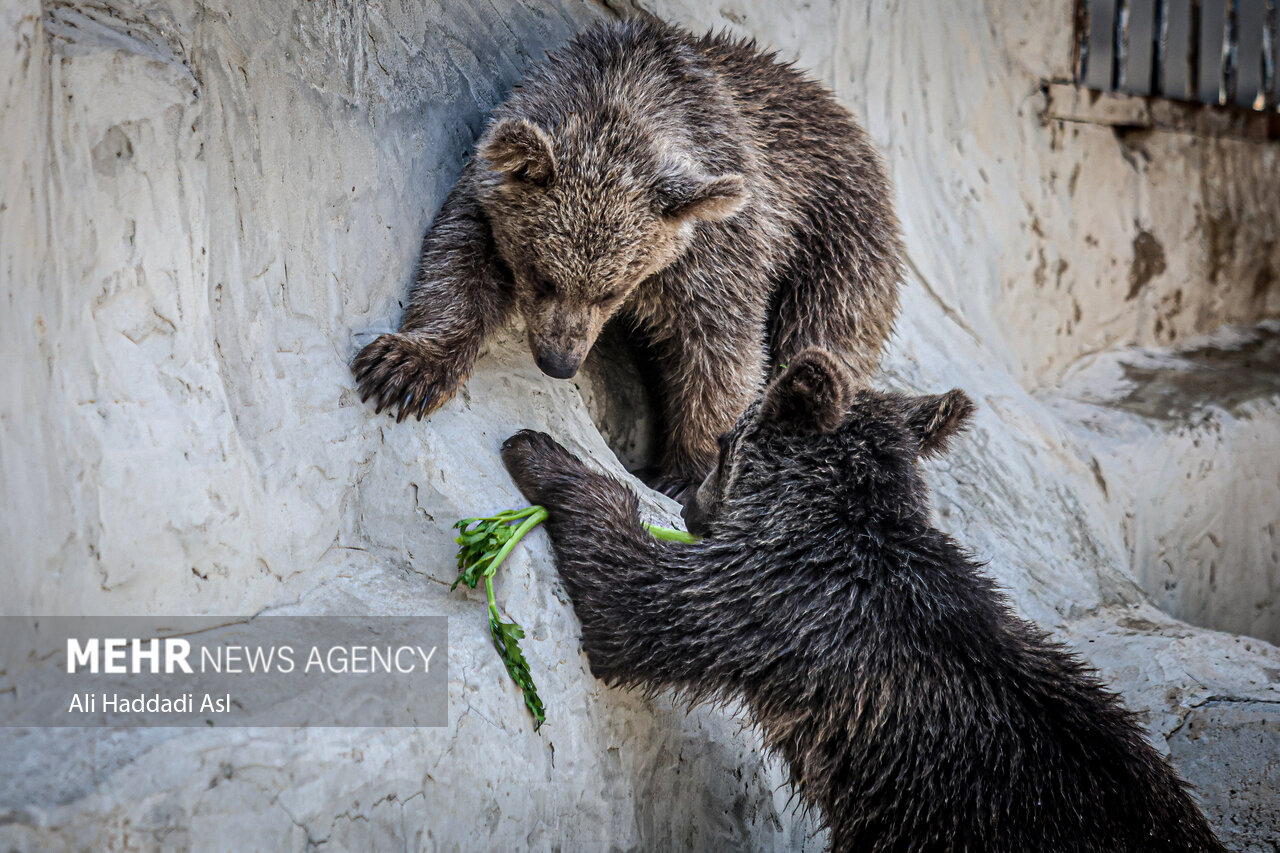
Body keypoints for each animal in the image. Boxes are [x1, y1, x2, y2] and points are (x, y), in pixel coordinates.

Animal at [355, 18, 906, 499]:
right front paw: (408, 369)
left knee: (819, 341)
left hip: (838, 250)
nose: (559, 363)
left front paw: (687, 473)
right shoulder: (488, 196)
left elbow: (721, 351)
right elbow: (458, 264)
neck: (625, 95)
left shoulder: (716, 244)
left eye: (611, 291)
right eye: (541, 275)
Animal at [496, 348, 1218, 850]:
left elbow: (636, 607)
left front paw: (544, 455)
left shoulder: (778, 602)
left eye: (726, 440)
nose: (691, 504)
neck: (829, 524)